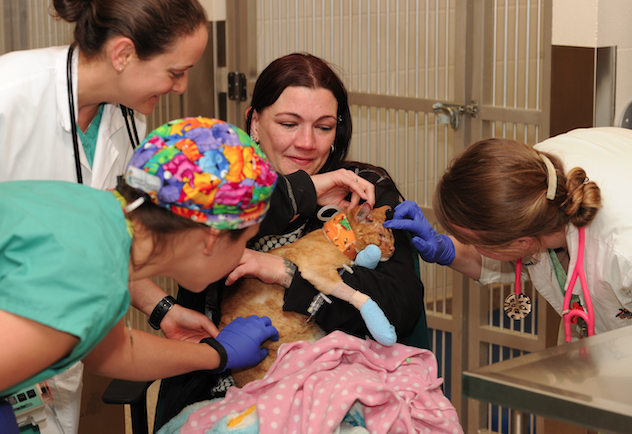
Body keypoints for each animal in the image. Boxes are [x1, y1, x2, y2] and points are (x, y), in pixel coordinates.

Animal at [220, 203, 392, 386]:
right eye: (381, 235)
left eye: (391, 237)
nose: (392, 249)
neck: (336, 241)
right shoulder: (321, 275)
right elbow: (354, 294)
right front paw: (381, 325)